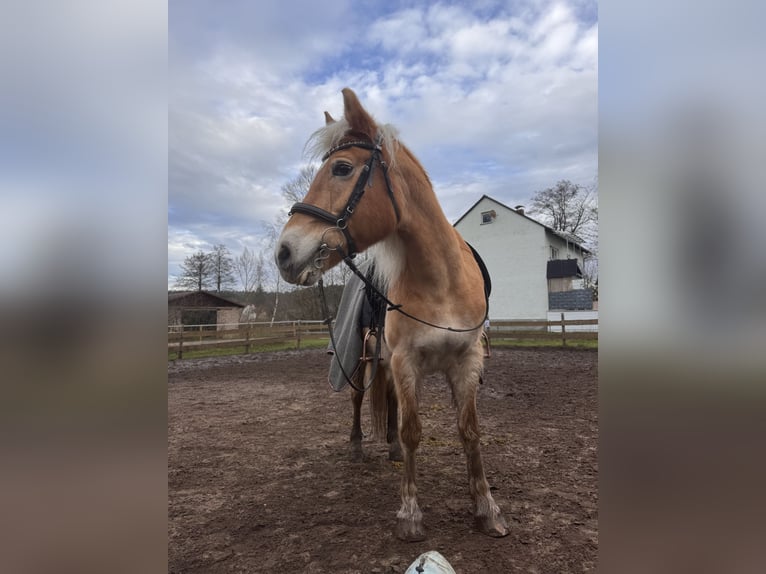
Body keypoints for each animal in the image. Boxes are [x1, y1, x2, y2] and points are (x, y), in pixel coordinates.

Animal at [276, 88, 510, 544]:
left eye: (342, 168)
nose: (284, 253)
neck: (441, 281)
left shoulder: (466, 362)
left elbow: (469, 432)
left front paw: (486, 509)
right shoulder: (405, 362)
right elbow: (412, 429)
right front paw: (410, 515)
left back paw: (392, 451)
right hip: (362, 360)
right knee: (358, 400)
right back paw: (358, 447)